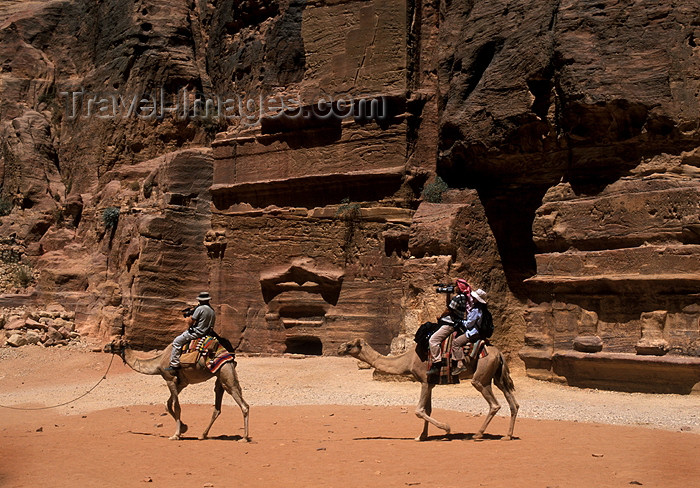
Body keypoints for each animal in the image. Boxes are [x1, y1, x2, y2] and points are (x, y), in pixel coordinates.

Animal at [102, 340, 247, 442]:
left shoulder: (170, 379)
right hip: (220, 376)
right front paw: (183, 428)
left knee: (242, 404)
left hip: (225, 372)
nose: (105, 347)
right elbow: (167, 405)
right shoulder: (181, 383)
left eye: (114, 342)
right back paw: (203, 435)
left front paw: (176, 435)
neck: (158, 363)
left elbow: (176, 406)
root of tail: (230, 355)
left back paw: (244, 438)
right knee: (218, 406)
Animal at [336, 338, 516, 440]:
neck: (408, 360)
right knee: (513, 403)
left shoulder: (424, 380)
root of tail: (499, 353)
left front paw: (446, 429)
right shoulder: (429, 383)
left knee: (494, 403)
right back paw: (507, 436)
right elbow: (427, 409)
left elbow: (419, 410)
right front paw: (422, 436)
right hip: (497, 376)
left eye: (350, 345)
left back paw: (478, 434)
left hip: (481, 376)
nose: (339, 348)